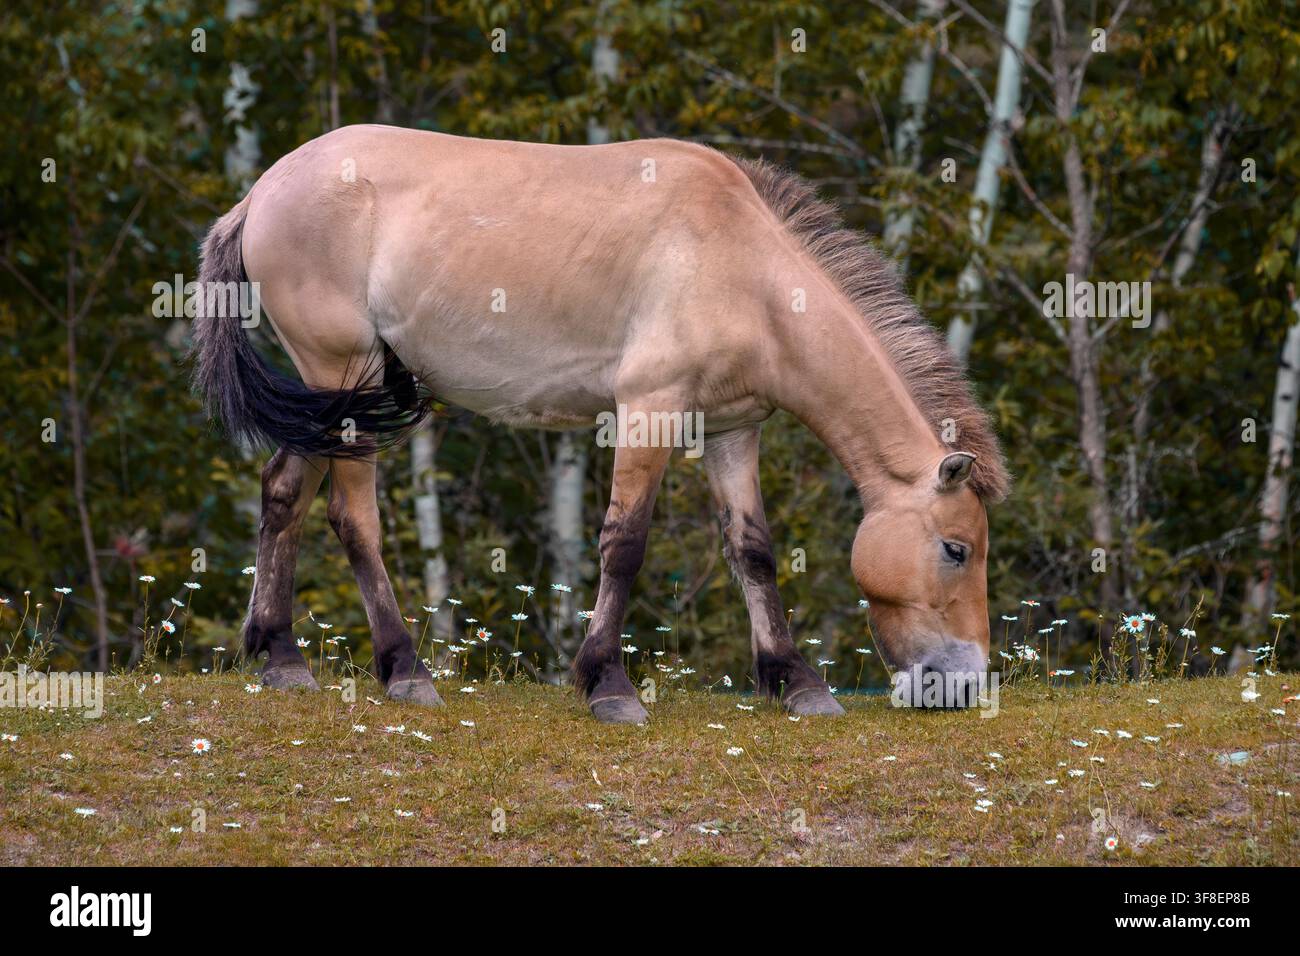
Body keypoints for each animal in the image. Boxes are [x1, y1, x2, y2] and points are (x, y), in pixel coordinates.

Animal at [192, 125, 1010, 723]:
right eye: (957, 549)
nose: (964, 685)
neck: (743, 267)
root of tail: (261, 192)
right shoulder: (649, 412)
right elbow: (625, 545)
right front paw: (607, 685)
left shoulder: (731, 429)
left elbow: (753, 550)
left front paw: (795, 681)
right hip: (344, 378)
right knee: (352, 516)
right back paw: (405, 671)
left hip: (326, 396)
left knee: (283, 493)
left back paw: (280, 658)